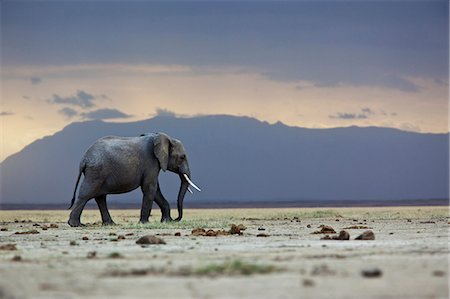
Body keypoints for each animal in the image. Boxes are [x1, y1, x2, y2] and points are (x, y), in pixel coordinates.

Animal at [67, 132, 200, 229]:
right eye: (182, 157)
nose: (176, 219)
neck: (163, 137)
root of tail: (84, 159)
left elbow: (155, 190)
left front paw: (166, 221)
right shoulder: (151, 162)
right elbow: (150, 188)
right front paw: (145, 223)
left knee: (100, 197)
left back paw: (110, 224)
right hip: (96, 172)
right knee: (86, 194)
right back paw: (76, 225)